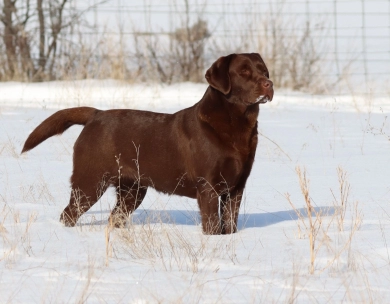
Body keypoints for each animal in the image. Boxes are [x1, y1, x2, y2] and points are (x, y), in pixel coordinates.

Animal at [22, 53, 274, 234]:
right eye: (243, 71)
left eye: (264, 71)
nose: (268, 84)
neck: (237, 126)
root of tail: (96, 114)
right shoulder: (208, 187)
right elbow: (212, 227)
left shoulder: (236, 188)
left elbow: (229, 225)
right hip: (90, 182)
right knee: (68, 214)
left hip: (132, 190)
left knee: (115, 217)